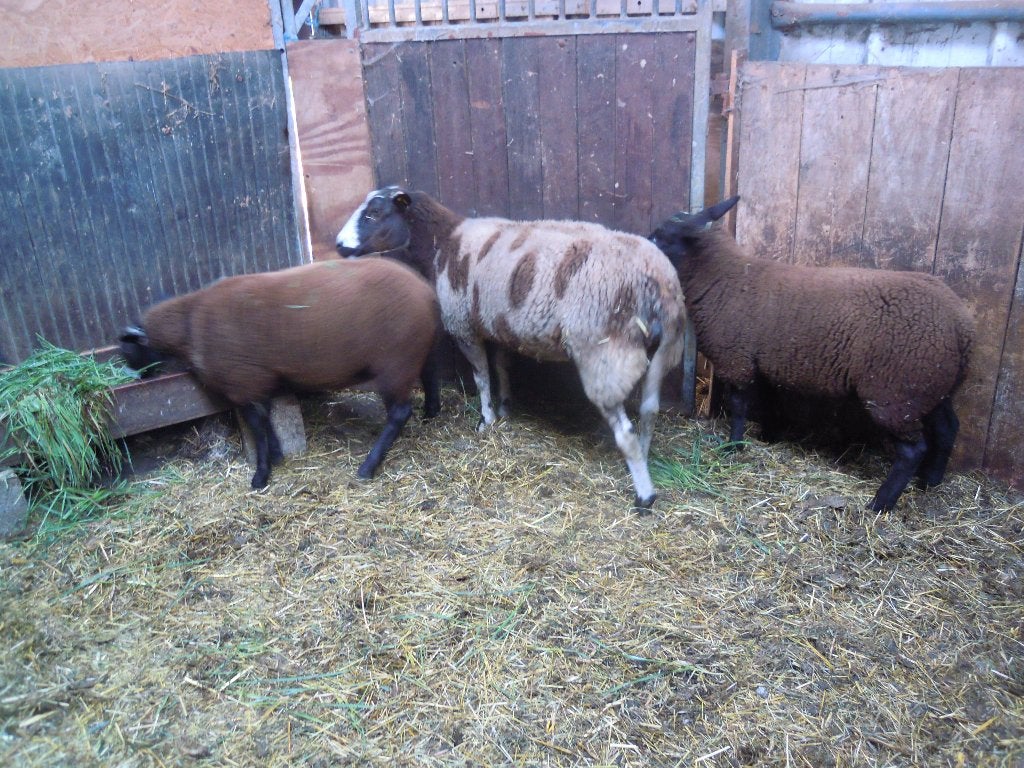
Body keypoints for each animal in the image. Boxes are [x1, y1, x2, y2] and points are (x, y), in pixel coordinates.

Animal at [119, 258, 441, 489]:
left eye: (127, 351)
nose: (135, 378)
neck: (189, 325)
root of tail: (425, 291)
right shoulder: (259, 382)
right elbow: (266, 421)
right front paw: (276, 455)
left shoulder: (243, 382)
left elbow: (257, 426)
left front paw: (261, 475)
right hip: (413, 350)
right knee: (430, 376)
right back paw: (432, 413)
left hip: (394, 363)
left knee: (399, 413)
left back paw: (368, 466)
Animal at [335, 186, 688, 509]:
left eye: (374, 213)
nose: (338, 245)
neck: (443, 243)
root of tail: (655, 279)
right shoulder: (495, 322)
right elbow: (500, 365)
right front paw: (505, 407)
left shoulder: (464, 325)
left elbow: (480, 376)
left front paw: (486, 420)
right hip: (664, 348)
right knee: (649, 411)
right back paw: (646, 458)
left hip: (603, 352)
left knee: (625, 431)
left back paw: (645, 495)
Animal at [649, 195, 975, 512]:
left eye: (662, 235)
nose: (642, 242)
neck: (726, 278)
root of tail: (962, 327)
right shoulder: (765, 363)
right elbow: (771, 403)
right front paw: (768, 437)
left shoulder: (736, 360)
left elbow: (739, 406)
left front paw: (734, 446)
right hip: (930, 387)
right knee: (948, 429)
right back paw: (929, 482)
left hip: (895, 392)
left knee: (912, 450)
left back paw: (881, 503)